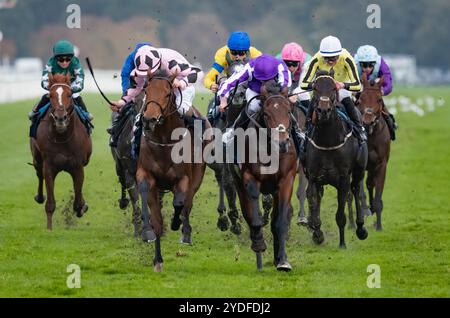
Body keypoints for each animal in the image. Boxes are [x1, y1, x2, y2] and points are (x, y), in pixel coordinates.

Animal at [30, 73, 92, 230]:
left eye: (69, 94)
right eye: (50, 95)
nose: (60, 118)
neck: (62, 137)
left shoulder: (78, 166)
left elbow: (77, 200)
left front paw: (81, 206)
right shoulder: (49, 167)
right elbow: (50, 204)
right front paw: (49, 229)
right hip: (37, 159)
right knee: (39, 175)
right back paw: (39, 196)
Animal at [136, 69, 210, 270]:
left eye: (168, 94)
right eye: (146, 90)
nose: (149, 119)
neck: (164, 142)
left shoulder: (183, 179)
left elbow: (179, 203)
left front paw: (176, 224)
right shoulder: (145, 174)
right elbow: (155, 219)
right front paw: (156, 256)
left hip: (197, 177)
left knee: (187, 203)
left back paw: (186, 233)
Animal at [229, 80, 298, 272]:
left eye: (288, 111)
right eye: (266, 114)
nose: (281, 143)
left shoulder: (286, 180)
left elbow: (280, 222)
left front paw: (283, 260)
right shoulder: (250, 179)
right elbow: (255, 217)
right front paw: (259, 244)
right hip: (238, 183)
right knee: (248, 213)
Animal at [304, 71, 368, 247]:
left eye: (333, 87)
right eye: (315, 88)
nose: (323, 110)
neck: (328, 140)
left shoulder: (343, 178)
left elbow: (340, 214)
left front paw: (342, 243)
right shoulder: (313, 177)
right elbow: (312, 201)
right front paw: (317, 233)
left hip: (359, 171)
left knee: (356, 190)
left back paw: (361, 228)